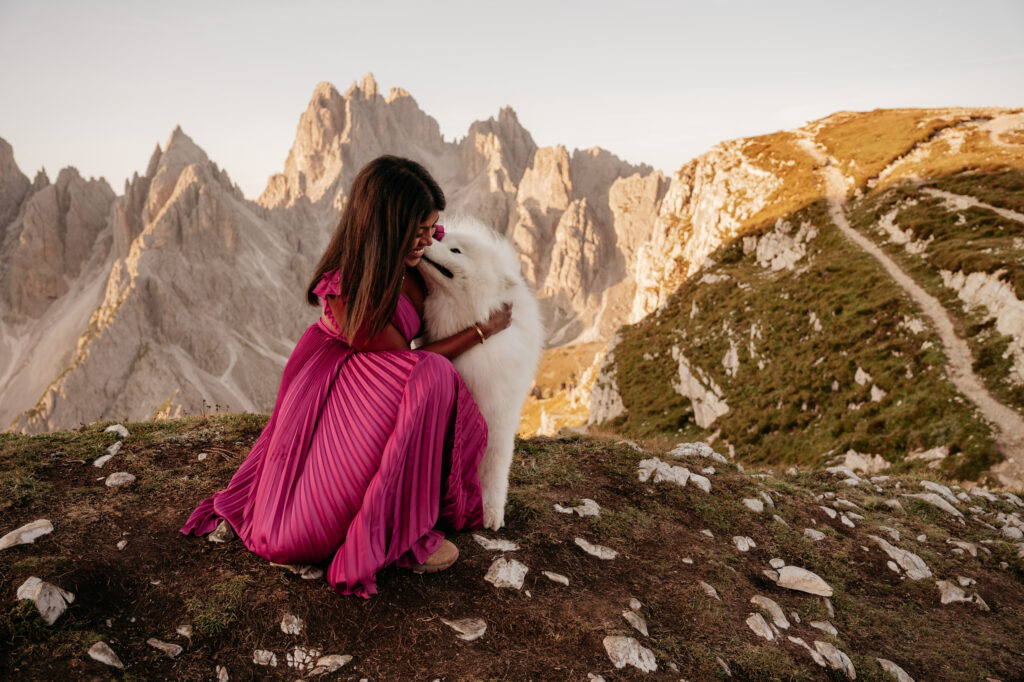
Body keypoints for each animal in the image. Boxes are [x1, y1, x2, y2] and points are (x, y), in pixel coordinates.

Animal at [415, 215, 544, 528]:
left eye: (455, 251)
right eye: (441, 239)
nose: (426, 241)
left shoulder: (498, 416)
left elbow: (493, 467)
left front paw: (490, 510)